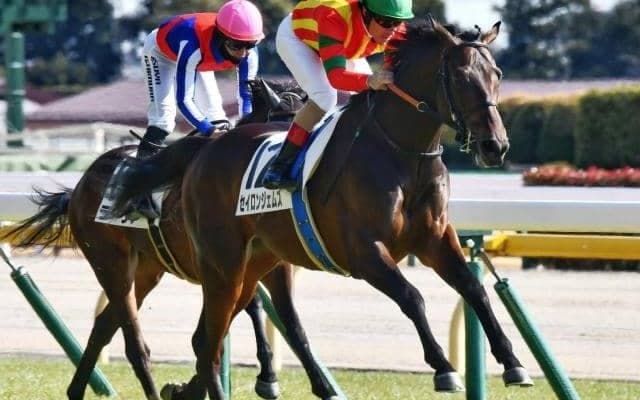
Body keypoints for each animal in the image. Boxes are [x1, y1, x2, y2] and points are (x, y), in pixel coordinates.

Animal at [4, 79, 340, 400]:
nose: (291, 180)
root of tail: (80, 185)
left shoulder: (273, 265)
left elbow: (291, 328)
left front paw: (304, 384)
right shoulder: (220, 263)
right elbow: (234, 322)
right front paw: (253, 379)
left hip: (146, 270)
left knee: (104, 324)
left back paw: (77, 390)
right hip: (110, 262)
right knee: (133, 342)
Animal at [117, 18, 532, 399]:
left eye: (497, 75)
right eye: (461, 78)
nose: (495, 146)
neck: (401, 153)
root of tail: (209, 145)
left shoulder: (435, 240)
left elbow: (474, 289)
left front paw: (513, 363)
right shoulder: (364, 252)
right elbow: (412, 297)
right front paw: (444, 367)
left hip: (256, 263)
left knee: (207, 338)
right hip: (223, 266)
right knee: (208, 344)